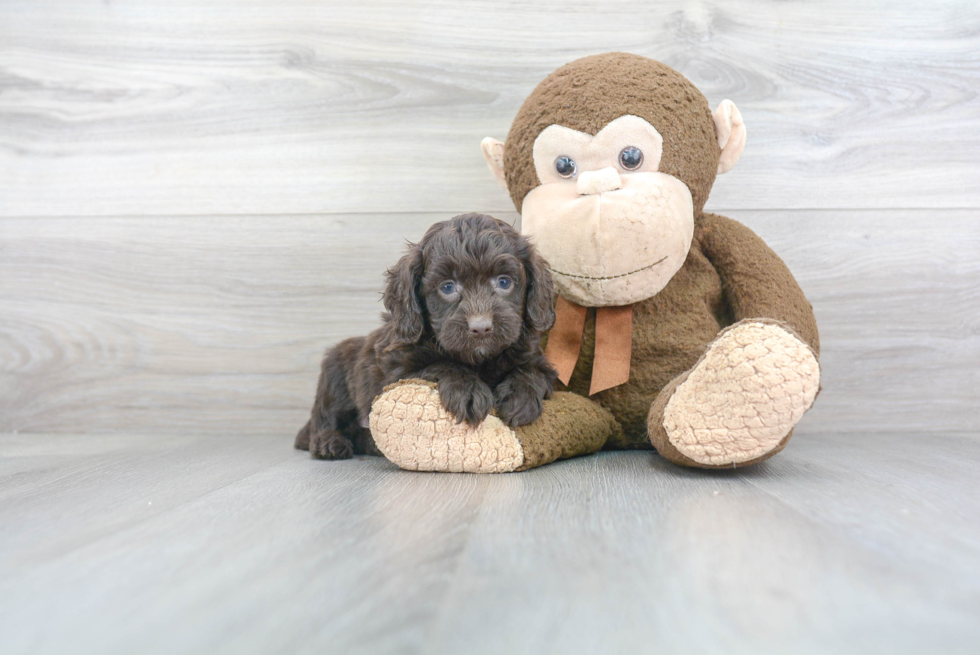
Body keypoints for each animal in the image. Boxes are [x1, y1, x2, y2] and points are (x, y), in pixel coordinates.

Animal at [294, 213, 556, 458]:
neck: (479, 360)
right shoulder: (396, 372)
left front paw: (520, 397)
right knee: (326, 417)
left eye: (504, 282)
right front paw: (467, 391)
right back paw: (329, 443)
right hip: (334, 375)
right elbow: (440, 364)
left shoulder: (538, 360)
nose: (481, 327)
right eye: (447, 287)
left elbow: (532, 371)